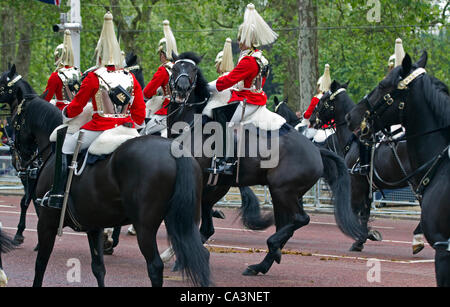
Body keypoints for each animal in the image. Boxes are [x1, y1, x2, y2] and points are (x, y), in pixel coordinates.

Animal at [0, 65, 211, 288]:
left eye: (15, 121)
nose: (18, 159)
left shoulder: (47, 222)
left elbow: (40, 263)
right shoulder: (93, 226)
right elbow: (98, 268)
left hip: (145, 226)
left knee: (155, 266)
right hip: (181, 221)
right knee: (201, 257)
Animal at [165, 51, 366, 276]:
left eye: (192, 69)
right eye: (175, 68)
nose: (182, 88)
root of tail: (316, 149)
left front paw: (179, 257)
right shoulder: (216, 184)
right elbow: (205, 221)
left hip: (283, 191)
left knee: (300, 219)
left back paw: (271, 247)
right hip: (282, 195)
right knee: (286, 224)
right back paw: (263, 262)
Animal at [312, 80, 426, 254]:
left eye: (322, 100)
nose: (311, 119)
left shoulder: (356, 184)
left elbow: (356, 211)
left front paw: (361, 237)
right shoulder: (366, 187)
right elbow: (365, 213)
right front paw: (365, 236)